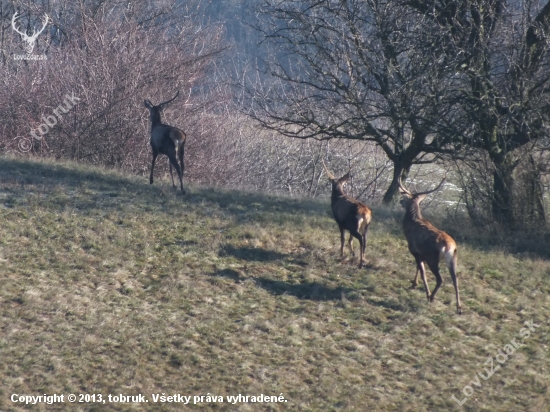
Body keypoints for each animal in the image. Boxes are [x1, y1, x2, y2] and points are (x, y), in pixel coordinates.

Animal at [398, 175, 464, 314]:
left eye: (405, 199)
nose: (400, 201)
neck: (409, 226)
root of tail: (449, 246)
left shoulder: (415, 251)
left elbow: (422, 272)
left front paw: (423, 290)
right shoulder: (421, 255)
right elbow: (418, 268)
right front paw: (414, 284)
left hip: (432, 258)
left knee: (440, 279)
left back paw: (431, 297)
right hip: (453, 258)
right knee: (455, 280)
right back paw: (459, 308)